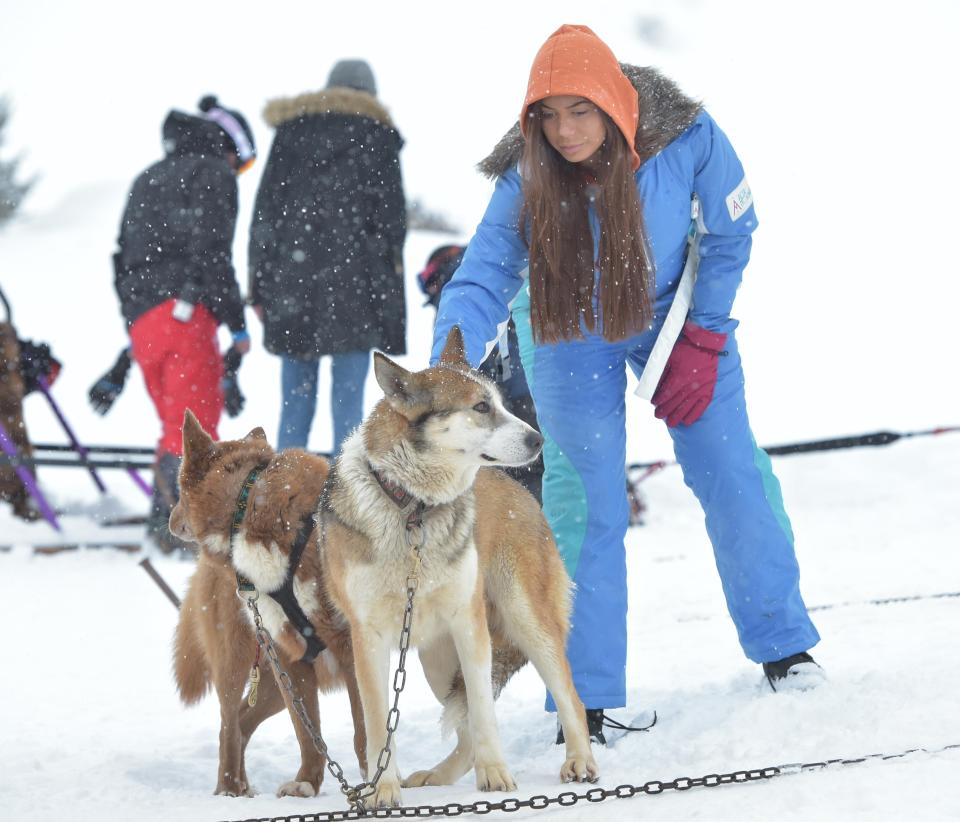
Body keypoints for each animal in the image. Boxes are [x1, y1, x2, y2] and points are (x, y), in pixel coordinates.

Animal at [171, 416, 366, 800]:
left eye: (180, 492)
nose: (169, 520)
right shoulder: (293, 655)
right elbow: (308, 734)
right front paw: (307, 783)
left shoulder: (348, 644)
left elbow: (365, 731)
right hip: (242, 665)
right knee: (230, 725)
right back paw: (229, 791)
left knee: (240, 722)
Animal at [228, 330, 596, 812]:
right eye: (481, 407)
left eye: (499, 401)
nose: (537, 440)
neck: (414, 510)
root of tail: (520, 492)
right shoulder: (367, 638)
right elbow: (378, 724)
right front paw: (383, 789)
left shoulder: (469, 623)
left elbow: (484, 710)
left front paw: (496, 775)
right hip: (436, 661)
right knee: (464, 731)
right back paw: (437, 776)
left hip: (523, 621)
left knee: (567, 695)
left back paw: (580, 762)